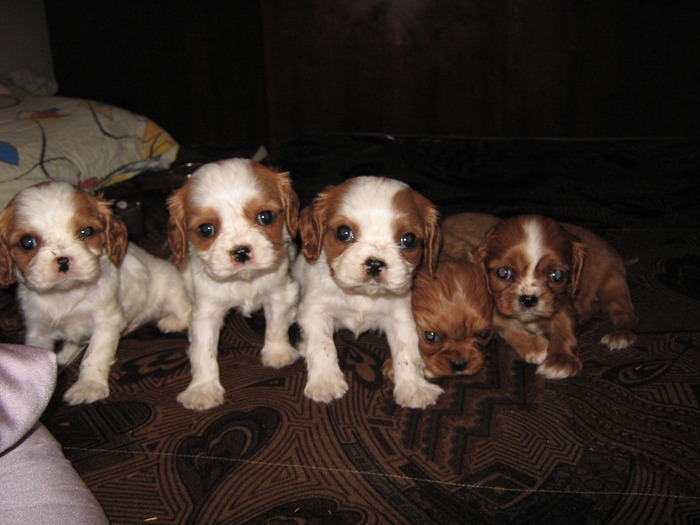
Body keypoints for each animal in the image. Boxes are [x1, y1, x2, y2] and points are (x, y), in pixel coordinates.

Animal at [0, 182, 191, 404]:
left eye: (86, 231)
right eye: (27, 242)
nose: (63, 260)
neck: (64, 293)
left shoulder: (106, 322)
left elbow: (93, 355)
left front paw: (88, 387)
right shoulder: (38, 331)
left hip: (169, 288)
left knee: (183, 308)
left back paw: (173, 321)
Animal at [170, 158, 304, 412]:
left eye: (265, 217)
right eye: (206, 230)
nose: (241, 251)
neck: (244, 279)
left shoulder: (279, 292)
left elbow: (276, 324)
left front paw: (277, 353)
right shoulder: (206, 312)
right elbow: (203, 351)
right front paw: (202, 389)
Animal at [296, 174, 442, 408]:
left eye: (408, 240)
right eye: (344, 233)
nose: (375, 264)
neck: (363, 294)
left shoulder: (401, 317)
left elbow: (407, 351)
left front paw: (413, 388)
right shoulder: (315, 311)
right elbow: (322, 345)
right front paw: (325, 382)